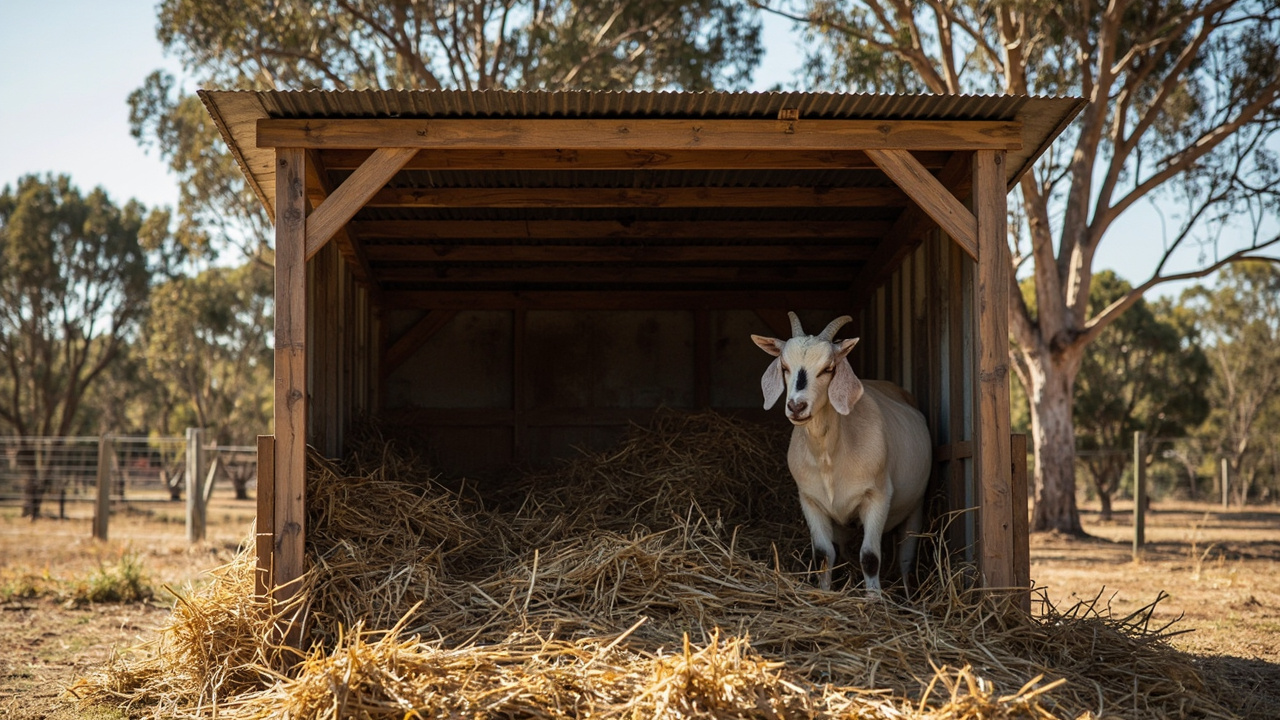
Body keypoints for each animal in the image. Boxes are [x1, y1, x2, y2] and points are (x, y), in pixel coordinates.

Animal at [752, 313, 930, 596]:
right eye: (784, 366)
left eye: (828, 368)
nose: (796, 406)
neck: (830, 458)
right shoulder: (810, 500)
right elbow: (823, 555)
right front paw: (825, 592)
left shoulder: (878, 496)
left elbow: (870, 556)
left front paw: (874, 599)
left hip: (916, 505)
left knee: (906, 556)